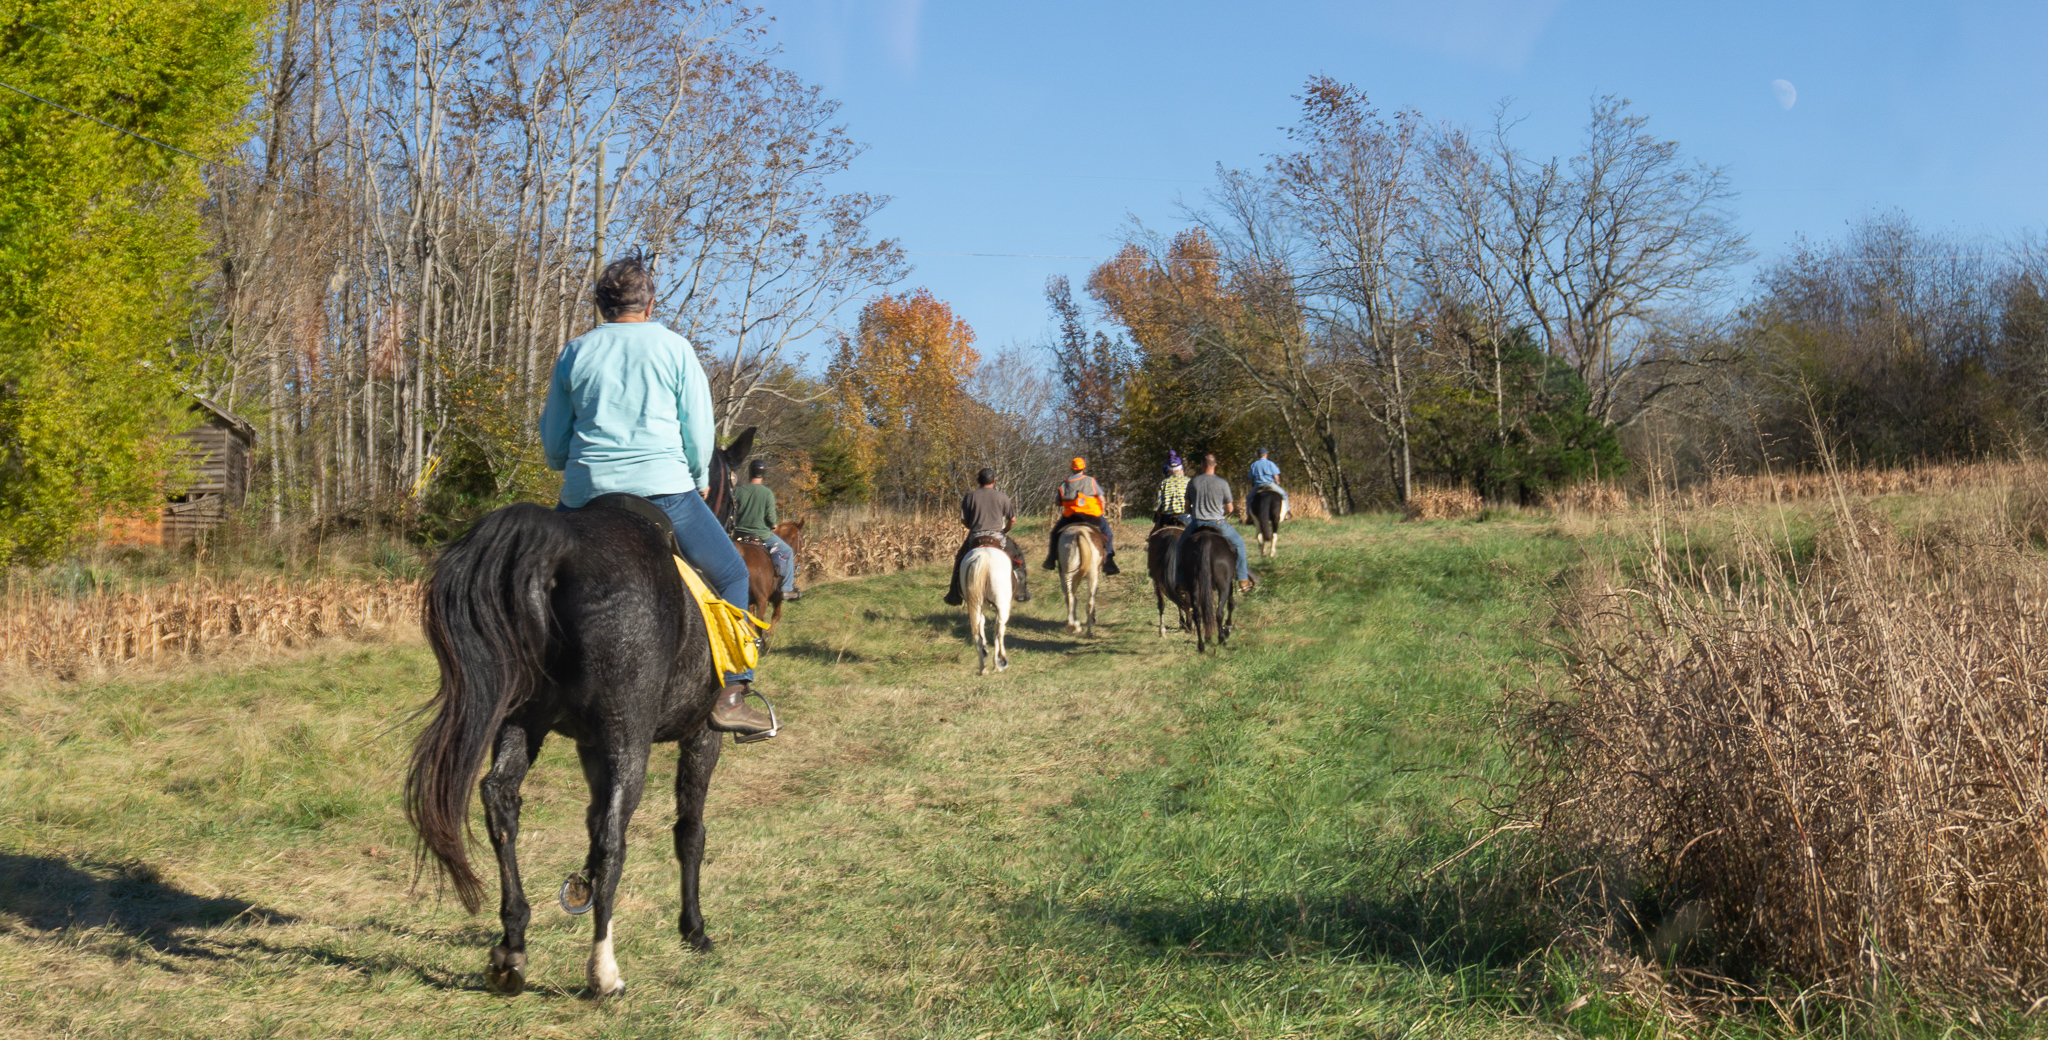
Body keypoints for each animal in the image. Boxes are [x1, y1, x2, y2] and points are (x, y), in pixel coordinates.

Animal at [966, 540, 1015, 679]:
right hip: (1002, 606)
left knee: (976, 633)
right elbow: (997, 633)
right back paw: (1001, 660)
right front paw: (997, 663)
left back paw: (983, 668)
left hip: (976, 605)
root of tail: (984, 557)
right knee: (1000, 630)